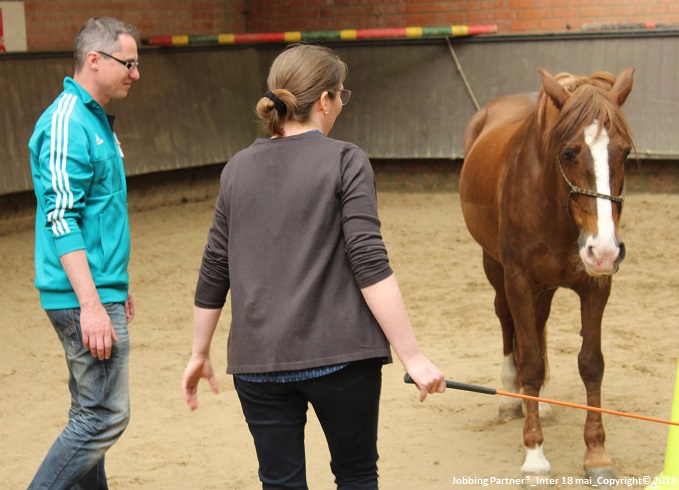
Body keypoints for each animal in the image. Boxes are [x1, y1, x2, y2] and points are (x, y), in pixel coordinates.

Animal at [456, 67, 636, 480]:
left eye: (625, 152)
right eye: (568, 153)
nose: (605, 251)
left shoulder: (596, 285)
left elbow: (591, 364)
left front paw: (597, 454)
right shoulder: (519, 282)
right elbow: (532, 364)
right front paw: (535, 454)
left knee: (536, 328)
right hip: (495, 267)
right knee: (506, 321)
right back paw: (511, 395)